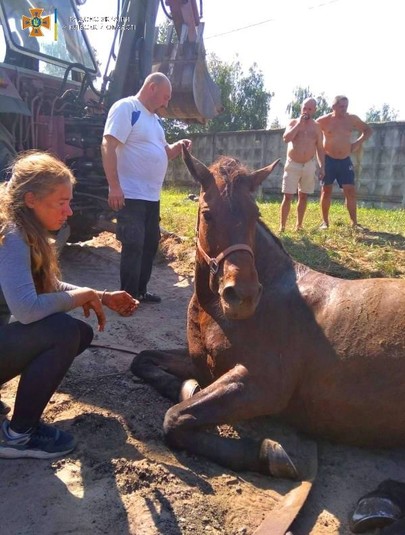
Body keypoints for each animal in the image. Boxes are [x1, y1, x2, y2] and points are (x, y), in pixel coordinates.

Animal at [130, 146, 405, 532]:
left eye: (255, 213)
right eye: (207, 213)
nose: (242, 295)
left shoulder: (262, 386)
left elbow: (175, 419)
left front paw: (269, 453)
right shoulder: (202, 363)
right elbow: (142, 361)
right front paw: (187, 387)